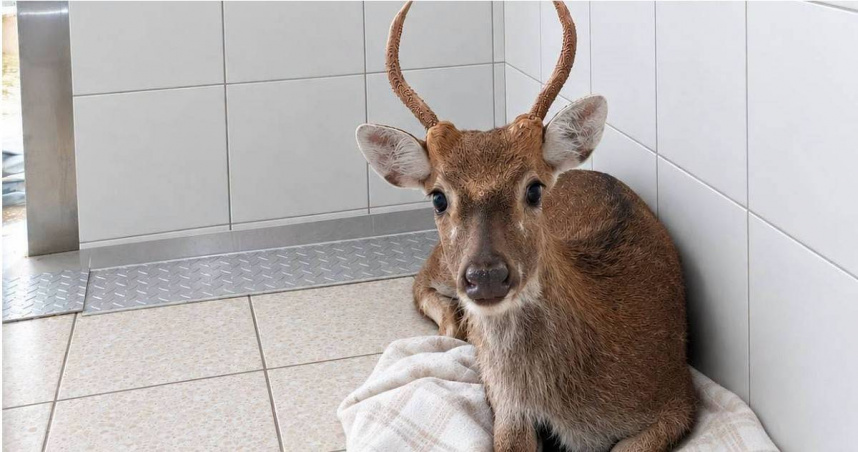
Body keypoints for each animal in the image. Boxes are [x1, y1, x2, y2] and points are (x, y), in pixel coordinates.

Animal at [355, 2, 696, 451]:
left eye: (534, 189)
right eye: (438, 197)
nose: (486, 276)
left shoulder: (677, 393)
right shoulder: (508, 407)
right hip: (443, 265)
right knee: (419, 284)